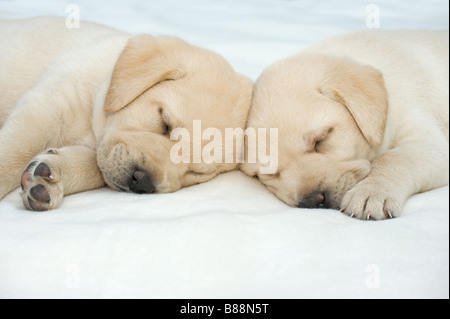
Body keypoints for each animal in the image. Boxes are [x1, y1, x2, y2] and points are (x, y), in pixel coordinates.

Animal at [0, 17, 253, 212]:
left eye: (196, 172)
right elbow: (15, 149)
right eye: (164, 122)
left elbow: (95, 165)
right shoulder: (48, 104)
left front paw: (52, 175)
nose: (144, 183)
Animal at [241, 30, 448, 220]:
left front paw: (371, 192)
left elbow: (393, 158)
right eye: (269, 174)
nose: (313, 200)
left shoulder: (430, 141)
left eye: (321, 139)